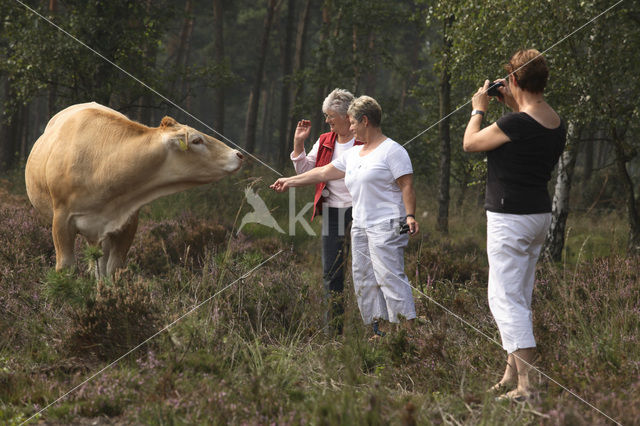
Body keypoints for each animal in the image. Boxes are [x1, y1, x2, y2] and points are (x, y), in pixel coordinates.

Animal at [25, 102, 242, 278]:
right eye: (197, 140)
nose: (238, 154)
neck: (103, 166)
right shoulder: (61, 221)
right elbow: (66, 269)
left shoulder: (127, 223)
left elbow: (111, 270)